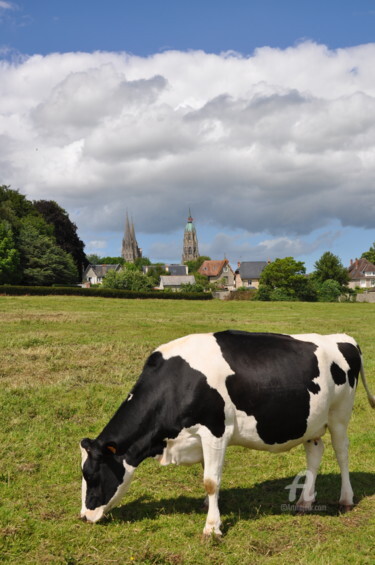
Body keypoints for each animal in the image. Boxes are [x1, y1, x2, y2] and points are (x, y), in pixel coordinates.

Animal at [78, 330, 374, 532]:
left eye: (91, 475)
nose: (83, 516)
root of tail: (342, 338)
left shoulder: (215, 431)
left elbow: (211, 480)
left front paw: (212, 528)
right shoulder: (199, 438)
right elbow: (206, 475)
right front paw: (207, 507)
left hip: (339, 415)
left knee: (342, 453)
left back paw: (346, 499)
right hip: (311, 421)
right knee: (315, 453)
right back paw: (304, 502)